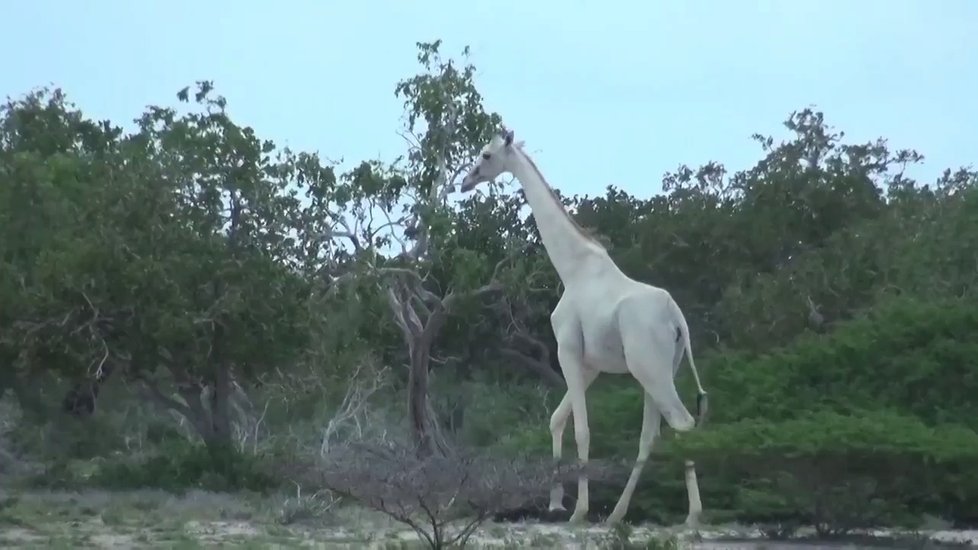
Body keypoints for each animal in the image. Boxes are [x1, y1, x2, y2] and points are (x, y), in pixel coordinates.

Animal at [462, 127, 704, 528]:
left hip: (649, 369)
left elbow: (582, 429)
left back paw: (692, 515)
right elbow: (556, 420)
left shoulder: (568, 351)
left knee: (682, 424)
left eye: (486, 155)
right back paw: (617, 515)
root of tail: (677, 319)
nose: (466, 181)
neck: (571, 268)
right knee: (651, 435)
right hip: (659, 370)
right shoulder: (590, 364)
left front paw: (577, 510)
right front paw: (555, 502)